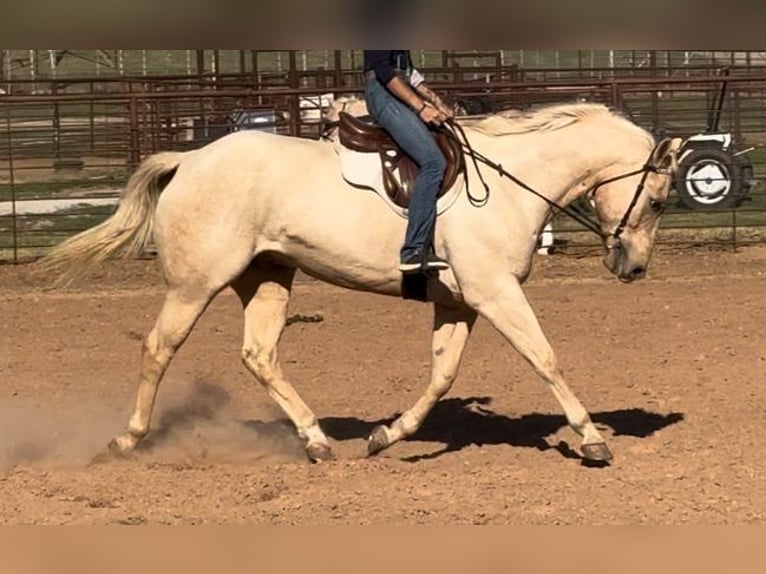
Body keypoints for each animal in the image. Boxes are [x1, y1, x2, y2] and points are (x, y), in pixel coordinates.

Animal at [42, 101, 680, 466]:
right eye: (657, 199)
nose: (633, 268)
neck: (510, 180)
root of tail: (191, 160)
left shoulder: (460, 303)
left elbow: (442, 375)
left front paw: (387, 436)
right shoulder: (495, 292)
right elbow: (545, 358)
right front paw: (591, 439)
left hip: (267, 276)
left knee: (259, 354)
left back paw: (316, 440)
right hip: (195, 284)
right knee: (159, 348)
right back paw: (128, 440)